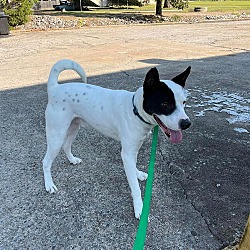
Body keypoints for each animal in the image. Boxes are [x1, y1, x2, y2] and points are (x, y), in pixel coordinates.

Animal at [43, 59, 191, 219]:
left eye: (184, 102)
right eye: (165, 104)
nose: (186, 123)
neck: (135, 111)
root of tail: (55, 88)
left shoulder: (133, 149)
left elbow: (134, 167)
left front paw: (137, 174)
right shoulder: (127, 154)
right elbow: (135, 188)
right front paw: (139, 208)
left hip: (73, 127)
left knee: (66, 145)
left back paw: (72, 160)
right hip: (56, 135)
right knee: (46, 161)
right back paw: (49, 184)